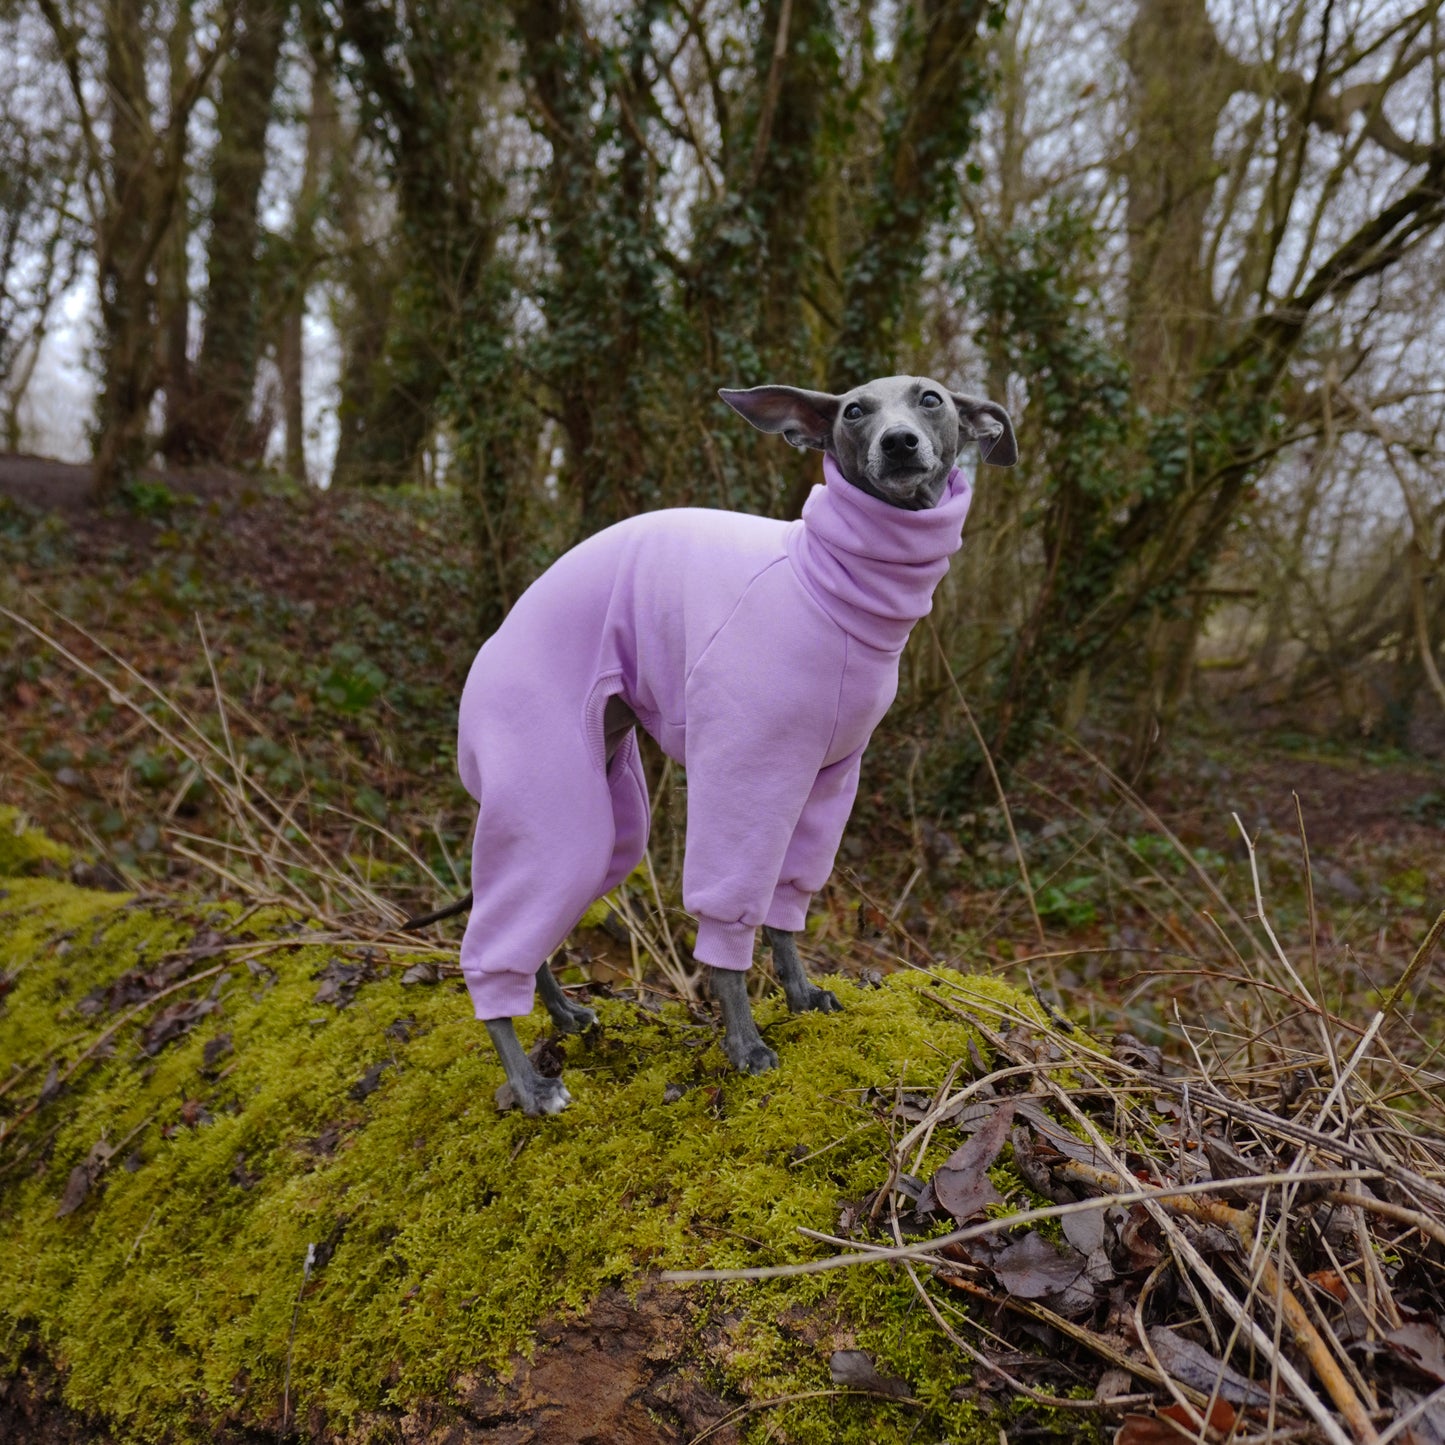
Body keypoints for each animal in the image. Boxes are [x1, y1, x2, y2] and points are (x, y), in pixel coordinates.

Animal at [407, 378, 1017, 1109]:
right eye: (853, 410)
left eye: (930, 399)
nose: (899, 444)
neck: (831, 584)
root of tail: (486, 658)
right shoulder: (745, 775)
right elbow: (729, 929)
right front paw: (743, 1042)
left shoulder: (828, 781)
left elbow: (786, 906)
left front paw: (801, 993)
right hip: (552, 811)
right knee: (490, 945)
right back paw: (528, 1084)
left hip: (610, 823)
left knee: (538, 928)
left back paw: (563, 1014)